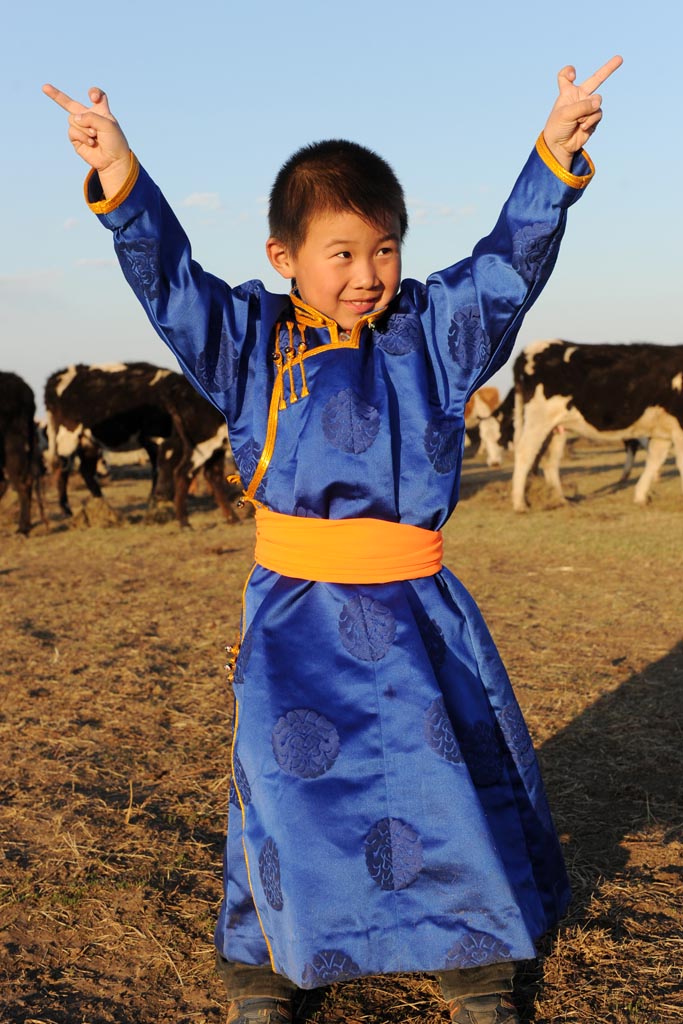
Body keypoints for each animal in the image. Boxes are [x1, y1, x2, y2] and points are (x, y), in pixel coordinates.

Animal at [44, 362, 240, 528]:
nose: (162, 494)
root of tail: (57, 376)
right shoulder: (157, 441)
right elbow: (158, 469)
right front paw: (156, 501)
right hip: (67, 437)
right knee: (62, 469)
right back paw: (67, 509)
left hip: (88, 442)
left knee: (86, 471)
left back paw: (101, 503)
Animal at [509, 339, 679, 512]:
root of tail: (529, 350)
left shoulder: (664, 430)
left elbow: (655, 458)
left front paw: (640, 497)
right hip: (538, 419)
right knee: (525, 453)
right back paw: (519, 504)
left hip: (556, 428)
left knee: (550, 461)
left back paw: (560, 499)